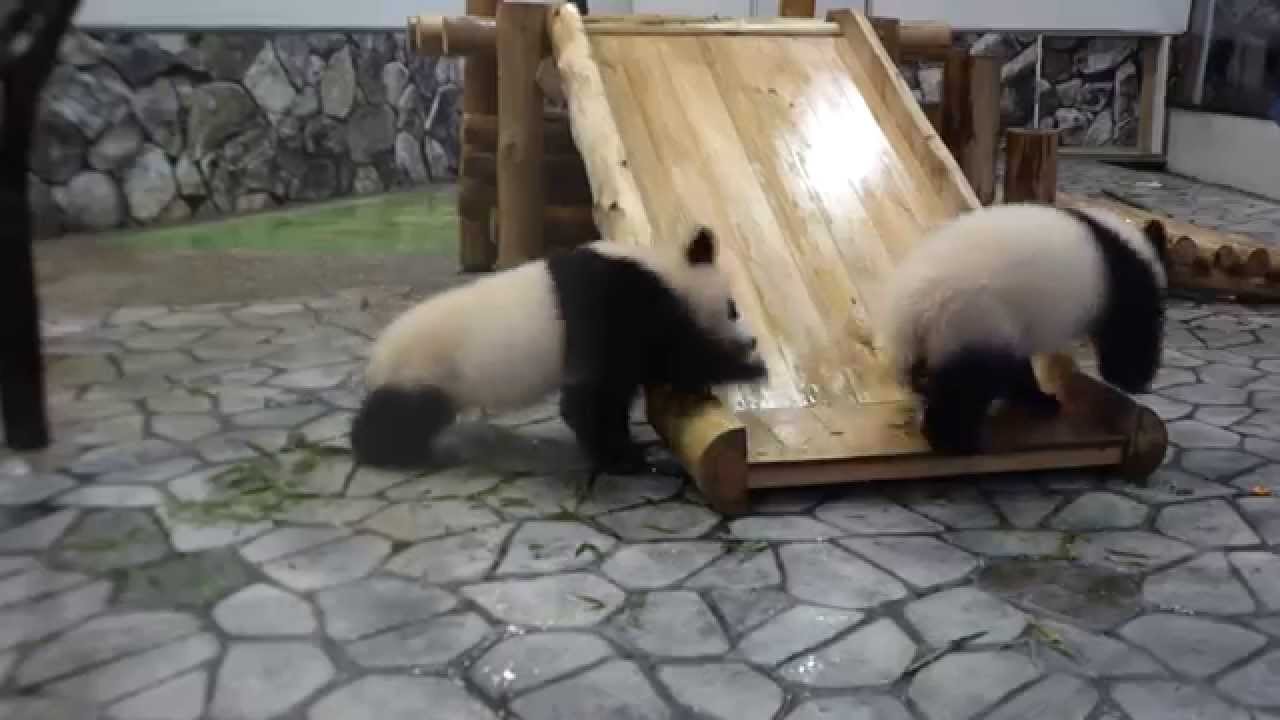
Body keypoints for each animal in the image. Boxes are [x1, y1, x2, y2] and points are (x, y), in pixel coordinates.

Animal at [350, 225, 768, 475]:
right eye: (733, 308)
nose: (751, 339)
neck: (659, 270)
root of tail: (376, 361)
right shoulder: (612, 306)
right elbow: (599, 390)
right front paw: (624, 457)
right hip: (422, 370)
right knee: (400, 415)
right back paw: (384, 452)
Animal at [875, 202, 1170, 455]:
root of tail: (911, 313)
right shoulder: (1123, 289)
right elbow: (1129, 335)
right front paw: (1134, 378)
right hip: (972, 319)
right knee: (969, 383)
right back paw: (957, 442)